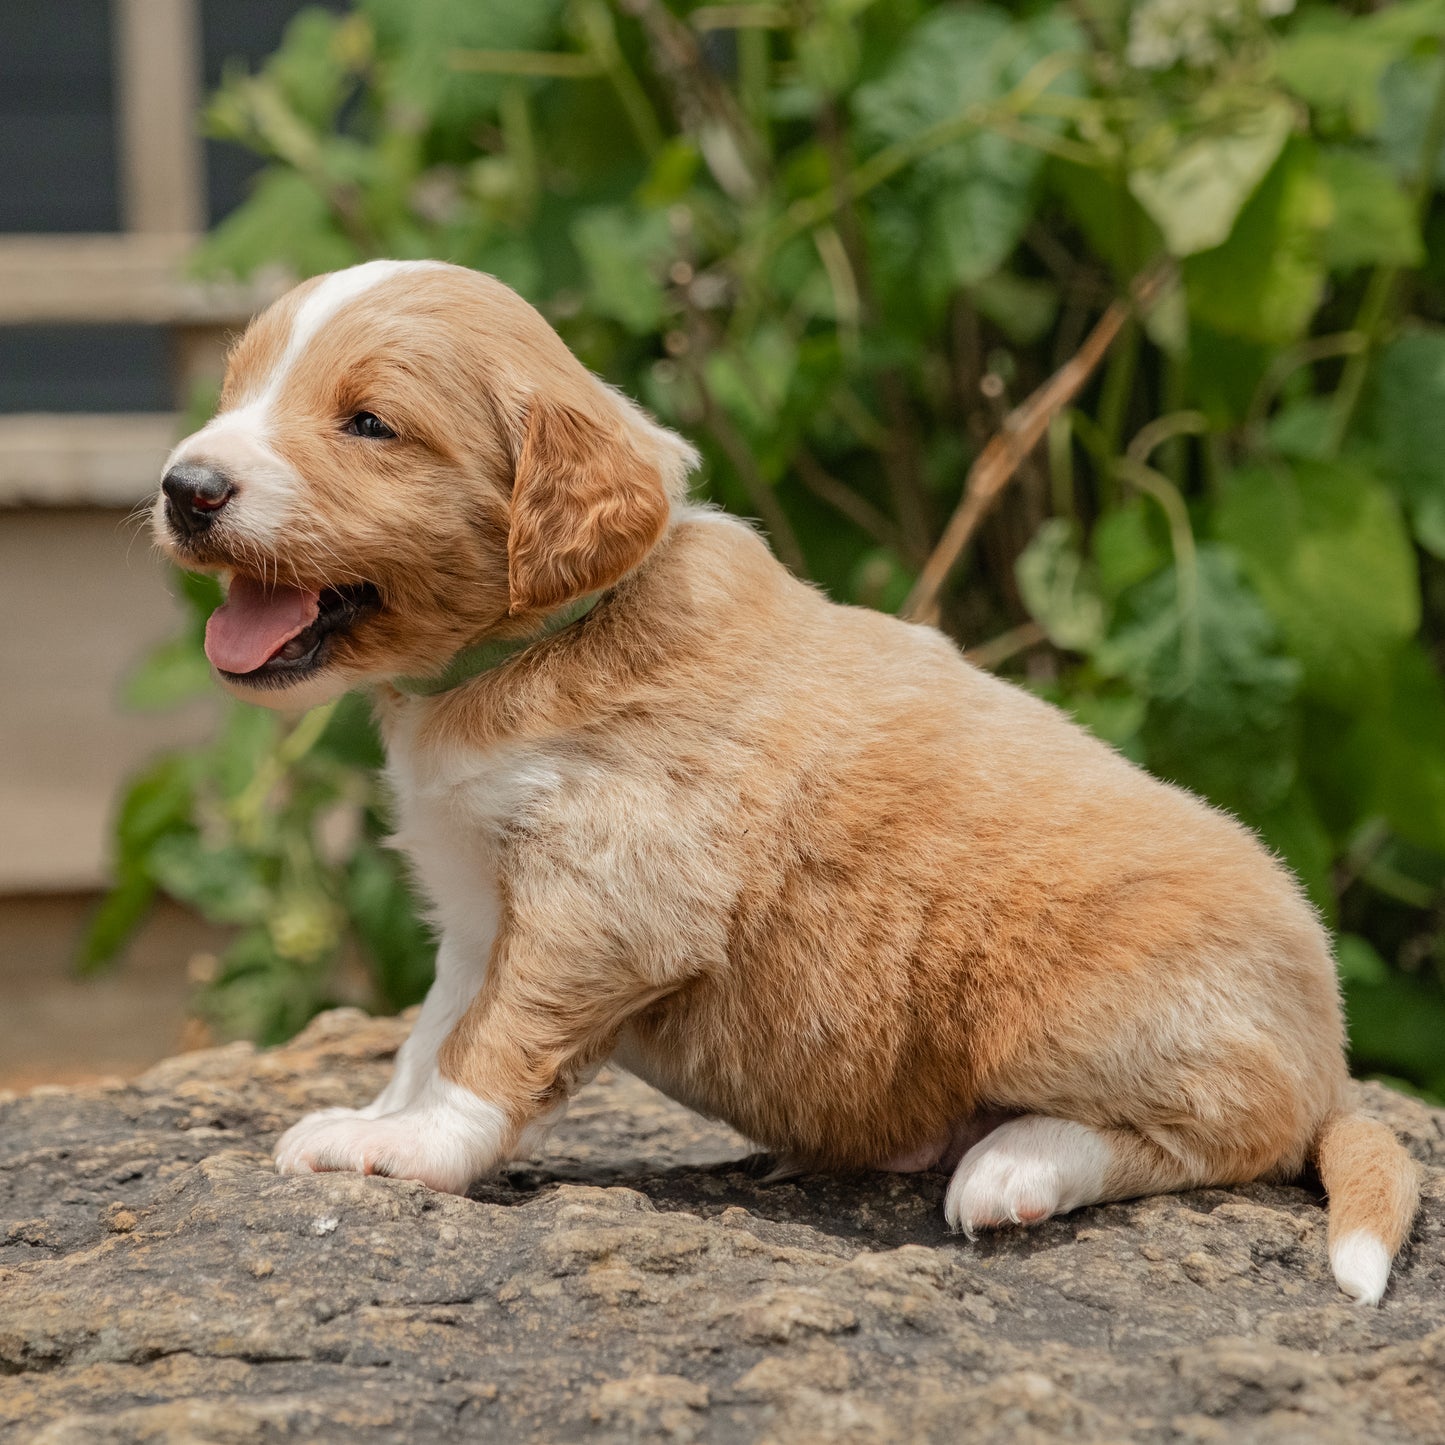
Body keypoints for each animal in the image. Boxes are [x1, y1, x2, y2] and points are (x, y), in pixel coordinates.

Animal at [152, 260, 1416, 1312]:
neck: (538, 641)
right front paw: (371, 1116)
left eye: (369, 423)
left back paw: (1012, 1164)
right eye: (239, 385)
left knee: (1217, 1138)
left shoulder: (607, 899)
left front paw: (412, 1151)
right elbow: (430, 1031)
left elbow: (494, 1043)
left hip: (1074, 1010)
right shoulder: (473, 906)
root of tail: (1330, 1056)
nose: (184, 486)